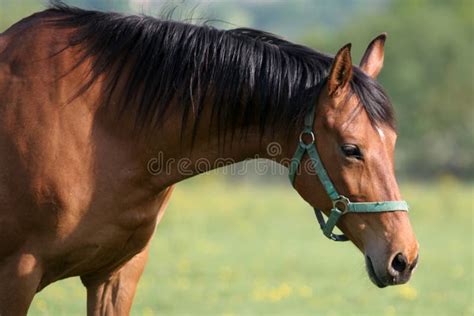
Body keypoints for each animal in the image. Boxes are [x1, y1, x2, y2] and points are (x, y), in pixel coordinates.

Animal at [0, 3, 416, 316]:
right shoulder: (18, 275)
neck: (96, 130)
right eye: (351, 149)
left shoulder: (115, 275)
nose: (404, 257)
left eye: (393, 143)